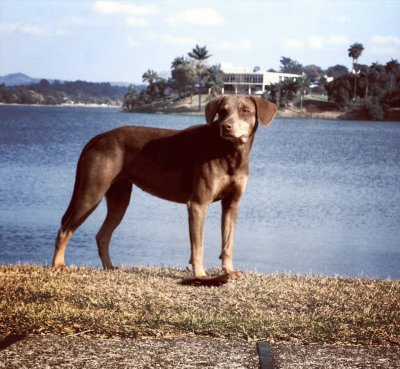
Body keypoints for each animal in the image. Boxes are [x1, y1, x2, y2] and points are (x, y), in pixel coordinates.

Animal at [52, 95, 276, 276]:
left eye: (245, 111)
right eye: (222, 112)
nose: (226, 127)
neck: (231, 153)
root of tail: (97, 138)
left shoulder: (232, 203)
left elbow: (228, 243)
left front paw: (229, 271)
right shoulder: (198, 204)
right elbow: (198, 246)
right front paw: (200, 275)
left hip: (119, 198)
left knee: (102, 235)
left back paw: (110, 267)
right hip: (91, 192)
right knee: (65, 229)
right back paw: (58, 265)